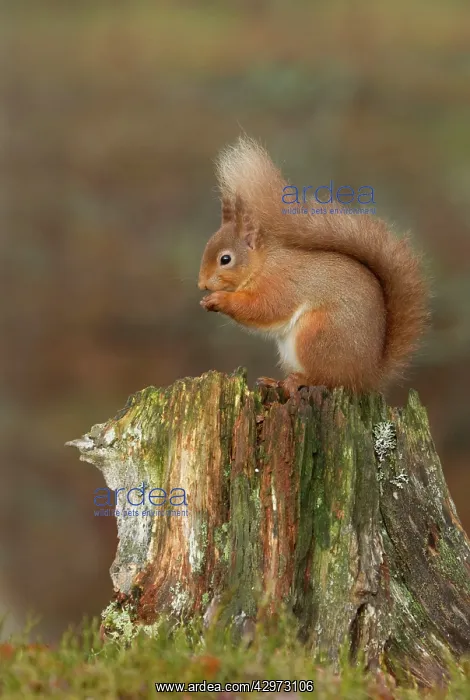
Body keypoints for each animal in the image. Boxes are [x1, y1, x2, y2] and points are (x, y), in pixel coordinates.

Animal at [198, 137, 429, 394]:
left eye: (225, 259)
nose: (202, 285)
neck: (263, 264)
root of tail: (366, 376)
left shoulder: (281, 283)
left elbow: (264, 308)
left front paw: (220, 299)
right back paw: (276, 381)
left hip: (318, 335)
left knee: (328, 378)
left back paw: (299, 380)